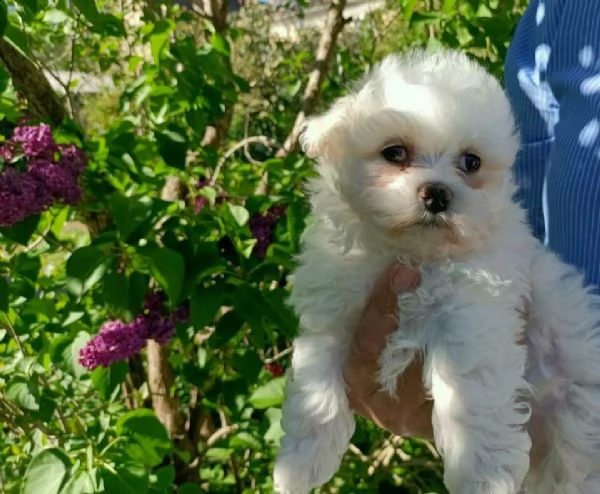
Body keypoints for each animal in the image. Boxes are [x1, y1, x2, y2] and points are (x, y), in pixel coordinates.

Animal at [274, 47, 600, 494]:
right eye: (394, 152)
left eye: (471, 161)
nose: (438, 194)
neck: (414, 254)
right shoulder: (336, 309)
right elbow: (316, 382)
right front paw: (298, 464)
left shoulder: (471, 314)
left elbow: (469, 396)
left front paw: (482, 477)